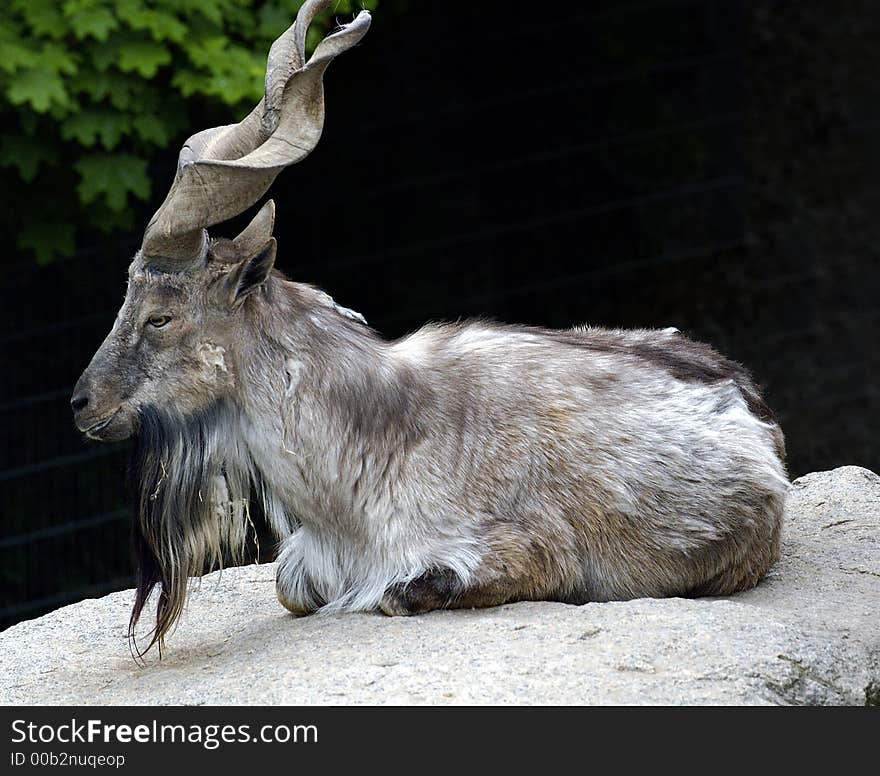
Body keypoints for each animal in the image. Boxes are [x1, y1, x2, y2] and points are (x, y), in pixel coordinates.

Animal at [69, 1, 788, 656]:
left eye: (161, 315)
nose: (81, 402)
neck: (361, 450)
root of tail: (751, 398)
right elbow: (290, 587)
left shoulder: (516, 549)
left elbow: (400, 592)